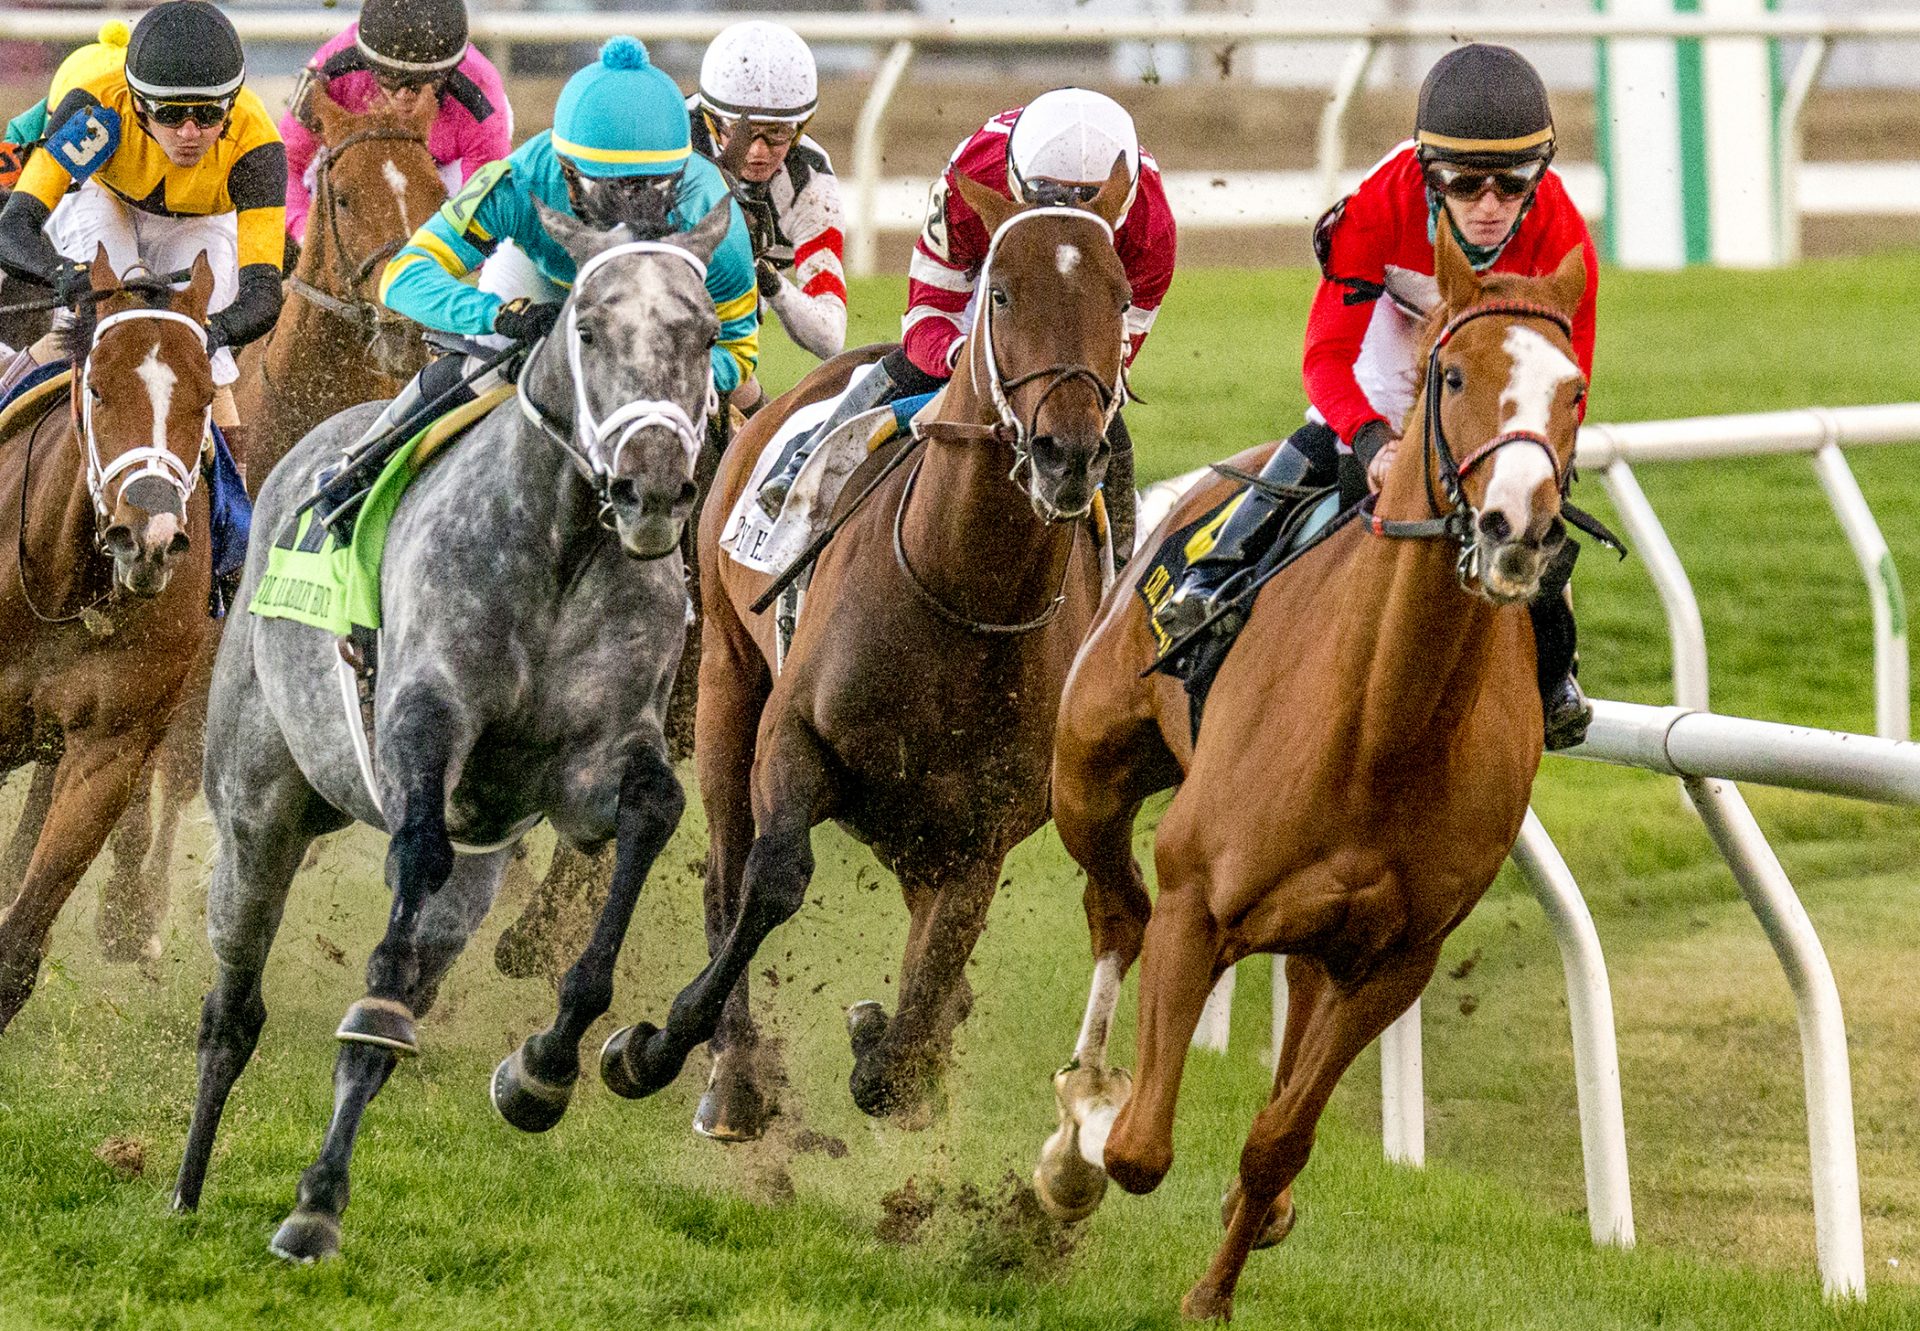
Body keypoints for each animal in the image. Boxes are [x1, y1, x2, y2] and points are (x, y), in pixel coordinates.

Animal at [172, 196, 729, 1259]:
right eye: (588, 330)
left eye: (707, 335)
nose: (652, 488)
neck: (562, 547)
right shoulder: (424, 719)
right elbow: (412, 858)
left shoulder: (591, 766)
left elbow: (651, 811)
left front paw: (545, 1065)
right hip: (257, 809)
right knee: (235, 1004)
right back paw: (191, 1189)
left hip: (475, 872)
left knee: (391, 1004)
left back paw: (319, 1195)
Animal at [579, 161, 1121, 1137]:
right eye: (1003, 290)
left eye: (1122, 293)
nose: (1067, 454)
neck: (962, 593)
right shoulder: (793, 736)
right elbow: (771, 881)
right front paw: (654, 1048)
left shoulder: (981, 833)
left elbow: (920, 1003)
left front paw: (891, 1042)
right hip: (726, 681)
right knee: (726, 870)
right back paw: (730, 1071)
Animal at [1036, 222, 1589, 1313]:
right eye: (1453, 373)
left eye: (1574, 389)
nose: (1516, 526)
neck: (1382, 726)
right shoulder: (1198, 899)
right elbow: (1138, 1148)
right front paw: (1084, 1146)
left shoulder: (1395, 960)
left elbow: (1278, 1139)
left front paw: (1214, 1289)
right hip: (1087, 772)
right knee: (1114, 908)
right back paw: (1076, 1116)